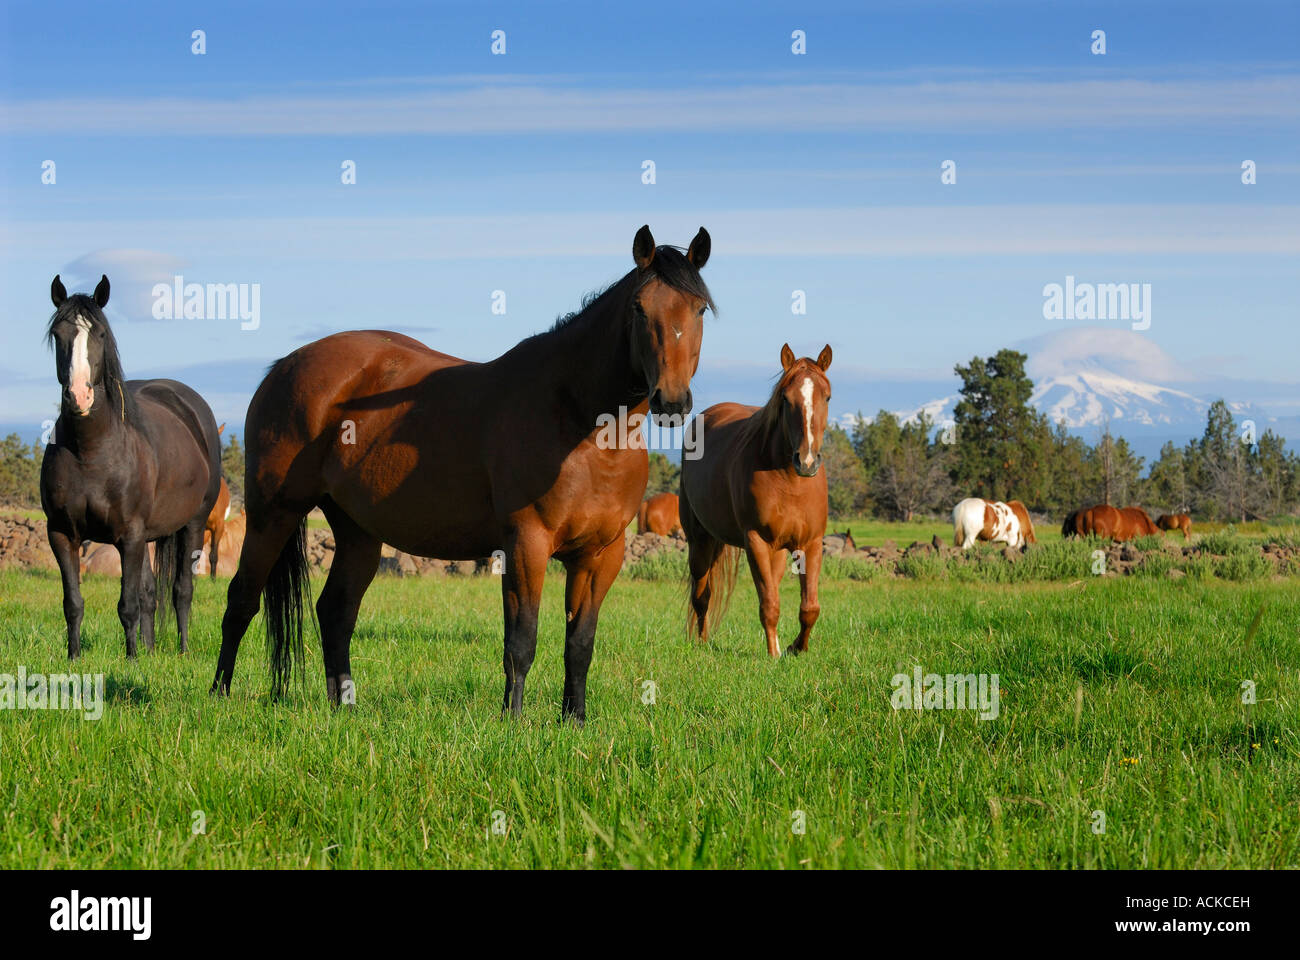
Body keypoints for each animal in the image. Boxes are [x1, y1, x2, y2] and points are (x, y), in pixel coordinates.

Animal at [41, 273, 220, 655]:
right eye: (58, 334)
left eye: (100, 334)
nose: (79, 396)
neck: (91, 451)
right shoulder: (61, 533)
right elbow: (74, 603)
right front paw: (74, 658)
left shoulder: (130, 535)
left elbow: (128, 605)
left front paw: (132, 659)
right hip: (147, 537)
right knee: (151, 593)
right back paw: (152, 651)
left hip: (192, 525)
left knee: (182, 591)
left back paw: (182, 650)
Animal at [211, 223, 712, 718]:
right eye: (639, 308)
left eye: (700, 308)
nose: (671, 402)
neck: (579, 421)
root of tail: (284, 368)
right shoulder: (525, 544)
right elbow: (521, 640)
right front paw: (513, 721)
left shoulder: (600, 555)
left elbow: (580, 644)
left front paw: (574, 720)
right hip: (272, 514)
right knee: (241, 600)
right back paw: (219, 695)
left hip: (357, 531)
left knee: (335, 611)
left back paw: (344, 708)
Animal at [681, 343, 832, 658]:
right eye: (785, 398)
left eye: (826, 396)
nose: (807, 461)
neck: (790, 480)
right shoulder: (756, 542)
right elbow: (769, 605)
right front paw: (774, 654)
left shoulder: (810, 543)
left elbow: (809, 608)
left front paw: (796, 647)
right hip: (700, 542)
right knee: (702, 596)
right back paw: (701, 642)